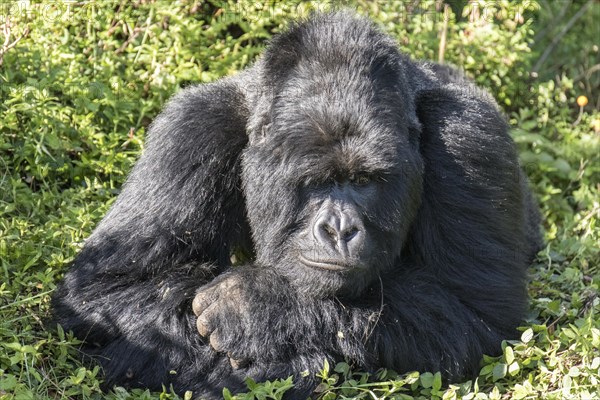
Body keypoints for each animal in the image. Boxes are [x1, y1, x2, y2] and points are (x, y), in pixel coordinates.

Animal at [52, 10, 540, 398]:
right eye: (316, 182)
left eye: (363, 181)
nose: (339, 230)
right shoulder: (191, 130)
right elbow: (108, 290)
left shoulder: (470, 138)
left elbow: (476, 312)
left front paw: (257, 305)